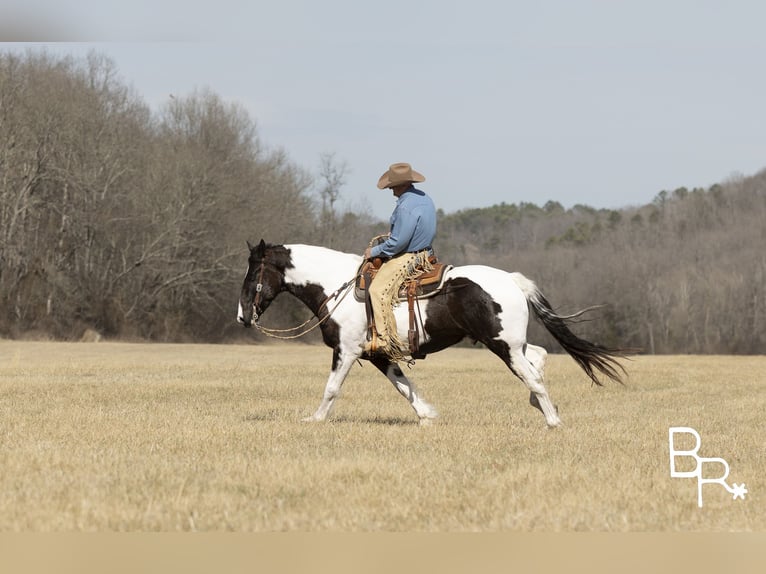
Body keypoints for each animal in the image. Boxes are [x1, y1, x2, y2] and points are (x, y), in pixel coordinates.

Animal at [238, 241, 632, 430]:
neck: (337, 285)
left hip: (502, 345)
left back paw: (552, 420)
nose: (242, 316)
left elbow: (332, 388)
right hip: (512, 343)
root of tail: (510, 279)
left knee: (532, 375)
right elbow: (403, 384)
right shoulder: (377, 354)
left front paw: (315, 419)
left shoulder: (346, 350)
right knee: (538, 358)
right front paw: (427, 415)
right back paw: (541, 406)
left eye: (253, 273)